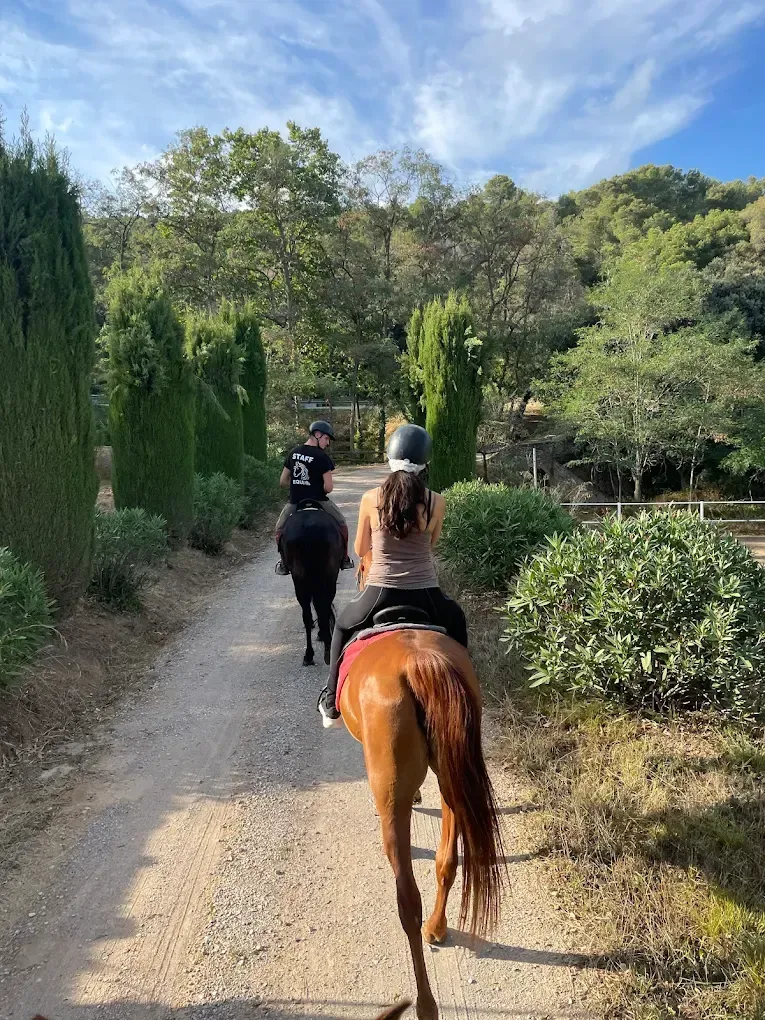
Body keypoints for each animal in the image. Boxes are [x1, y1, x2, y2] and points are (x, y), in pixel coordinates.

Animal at [282, 500, 344, 666]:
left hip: (302, 580)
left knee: (309, 614)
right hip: (327, 577)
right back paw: (324, 650)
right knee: (320, 607)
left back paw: (310, 654)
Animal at [338, 568, 504, 1020]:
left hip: (396, 792)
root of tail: (419, 662)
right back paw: (438, 927)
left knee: (406, 902)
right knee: (448, 861)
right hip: (454, 774)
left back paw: (426, 1002)